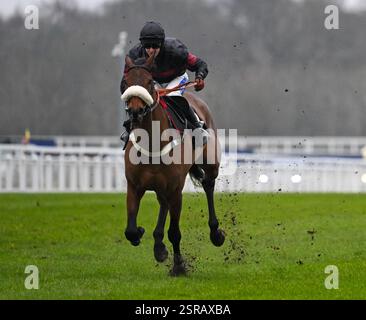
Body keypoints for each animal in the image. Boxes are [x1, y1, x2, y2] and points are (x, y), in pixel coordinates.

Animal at [121, 54, 224, 276]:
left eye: (149, 82)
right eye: (125, 83)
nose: (135, 111)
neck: (152, 144)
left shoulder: (176, 189)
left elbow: (175, 232)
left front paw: (178, 266)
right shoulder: (134, 186)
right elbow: (130, 230)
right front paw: (142, 233)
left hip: (210, 164)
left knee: (208, 185)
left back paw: (216, 233)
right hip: (161, 186)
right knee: (163, 203)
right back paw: (158, 245)